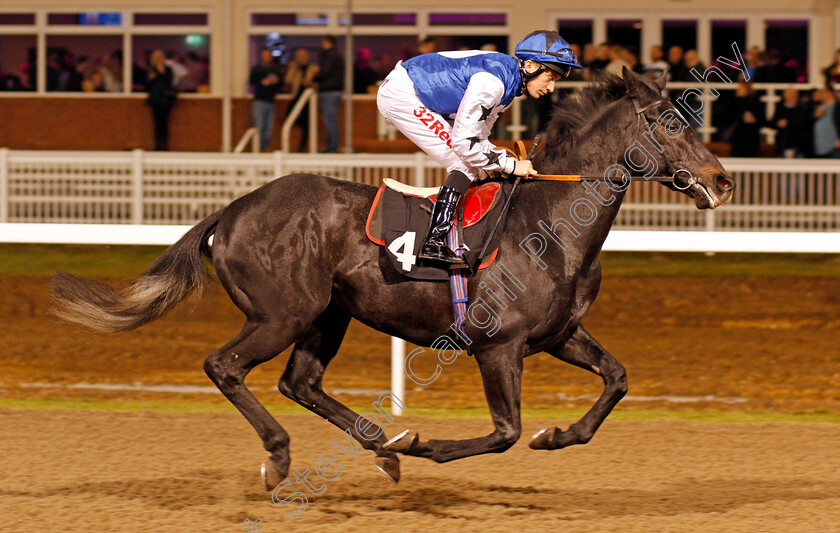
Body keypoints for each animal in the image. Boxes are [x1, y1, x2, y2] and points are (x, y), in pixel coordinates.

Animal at [52, 68, 736, 488]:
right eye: (671, 124)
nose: (724, 180)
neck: (549, 222)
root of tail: (235, 207)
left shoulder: (559, 335)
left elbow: (616, 380)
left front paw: (558, 434)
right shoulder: (499, 346)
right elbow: (504, 432)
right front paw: (425, 446)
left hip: (327, 315)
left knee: (299, 382)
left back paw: (381, 446)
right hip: (283, 313)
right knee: (226, 366)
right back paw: (287, 455)